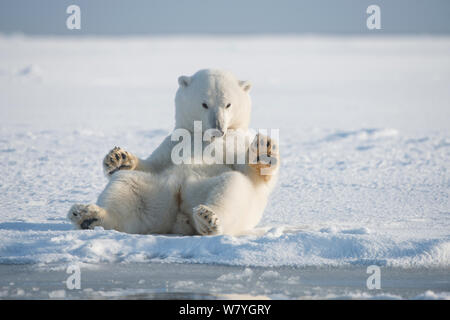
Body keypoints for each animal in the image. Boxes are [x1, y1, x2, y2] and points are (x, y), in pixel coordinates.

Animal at [67, 69, 278, 235]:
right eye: (204, 104)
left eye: (228, 104)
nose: (218, 128)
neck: (203, 137)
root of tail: (180, 217)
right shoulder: (173, 141)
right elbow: (153, 164)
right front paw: (117, 158)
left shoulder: (236, 142)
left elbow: (250, 173)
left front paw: (263, 149)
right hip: (155, 191)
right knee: (126, 185)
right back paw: (87, 215)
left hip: (200, 188)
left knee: (232, 186)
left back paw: (207, 218)